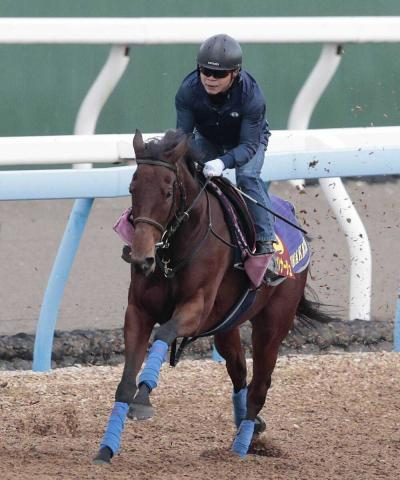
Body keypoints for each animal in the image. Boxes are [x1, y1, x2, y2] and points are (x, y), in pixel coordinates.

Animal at [94, 129, 332, 464]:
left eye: (168, 193)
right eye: (132, 188)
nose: (141, 258)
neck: (175, 250)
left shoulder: (196, 308)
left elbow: (165, 333)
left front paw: (144, 399)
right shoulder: (138, 311)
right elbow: (125, 383)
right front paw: (106, 449)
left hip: (273, 323)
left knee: (259, 385)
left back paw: (240, 449)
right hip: (227, 326)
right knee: (239, 372)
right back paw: (248, 425)